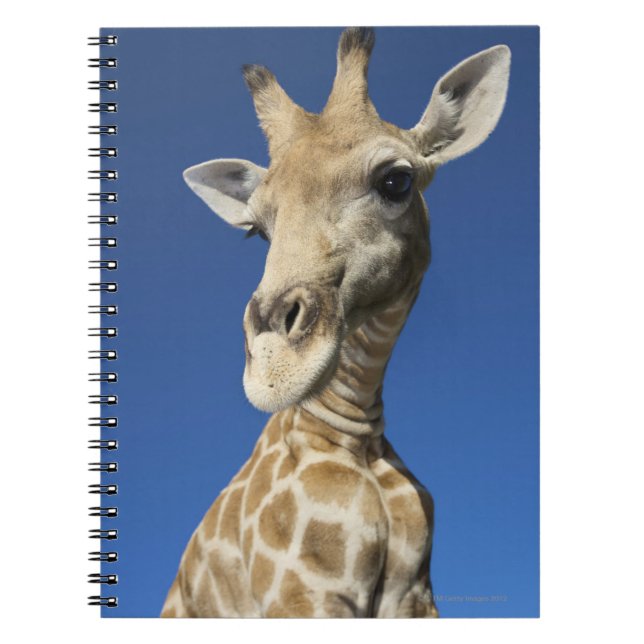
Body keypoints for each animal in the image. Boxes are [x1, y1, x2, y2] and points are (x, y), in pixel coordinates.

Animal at [161, 27, 510, 618]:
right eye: (256, 229)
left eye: (396, 181)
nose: (273, 368)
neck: (355, 434)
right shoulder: (303, 591)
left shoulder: (414, 595)